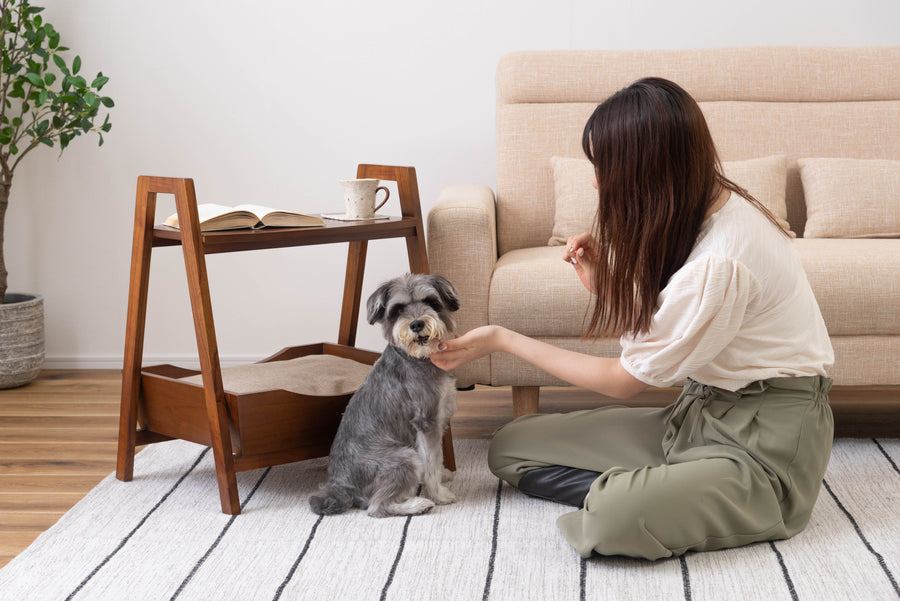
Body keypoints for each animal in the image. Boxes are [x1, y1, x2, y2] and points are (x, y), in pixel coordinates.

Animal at [312, 272, 464, 516]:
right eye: (398, 309)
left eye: (431, 302)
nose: (417, 324)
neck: (418, 358)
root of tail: (341, 486)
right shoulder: (426, 421)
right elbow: (431, 461)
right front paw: (439, 494)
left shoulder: (439, 420)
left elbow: (435, 458)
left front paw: (443, 474)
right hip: (403, 458)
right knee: (377, 507)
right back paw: (417, 504)